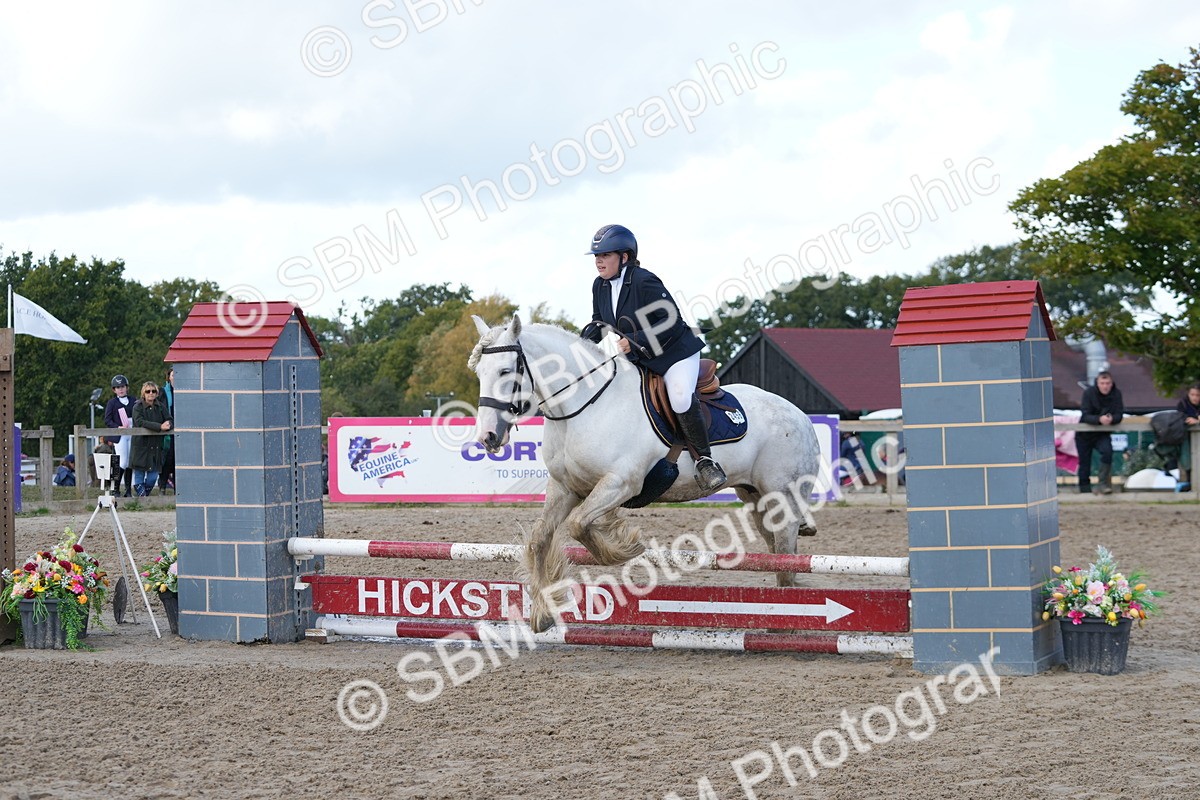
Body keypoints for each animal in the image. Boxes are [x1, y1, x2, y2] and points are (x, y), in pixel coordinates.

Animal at [470, 315, 824, 633]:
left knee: (786, 556)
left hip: (782, 499)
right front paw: (543, 613)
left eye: (505, 371)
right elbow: (540, 540)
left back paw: (786, 623)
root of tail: (800, 415)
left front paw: (624, 547)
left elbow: (579, 524)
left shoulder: (620, 483)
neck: (583, 408)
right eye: (479, 372)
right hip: (755, 498)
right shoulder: (564, 488)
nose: (488, 437)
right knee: (778, 553)